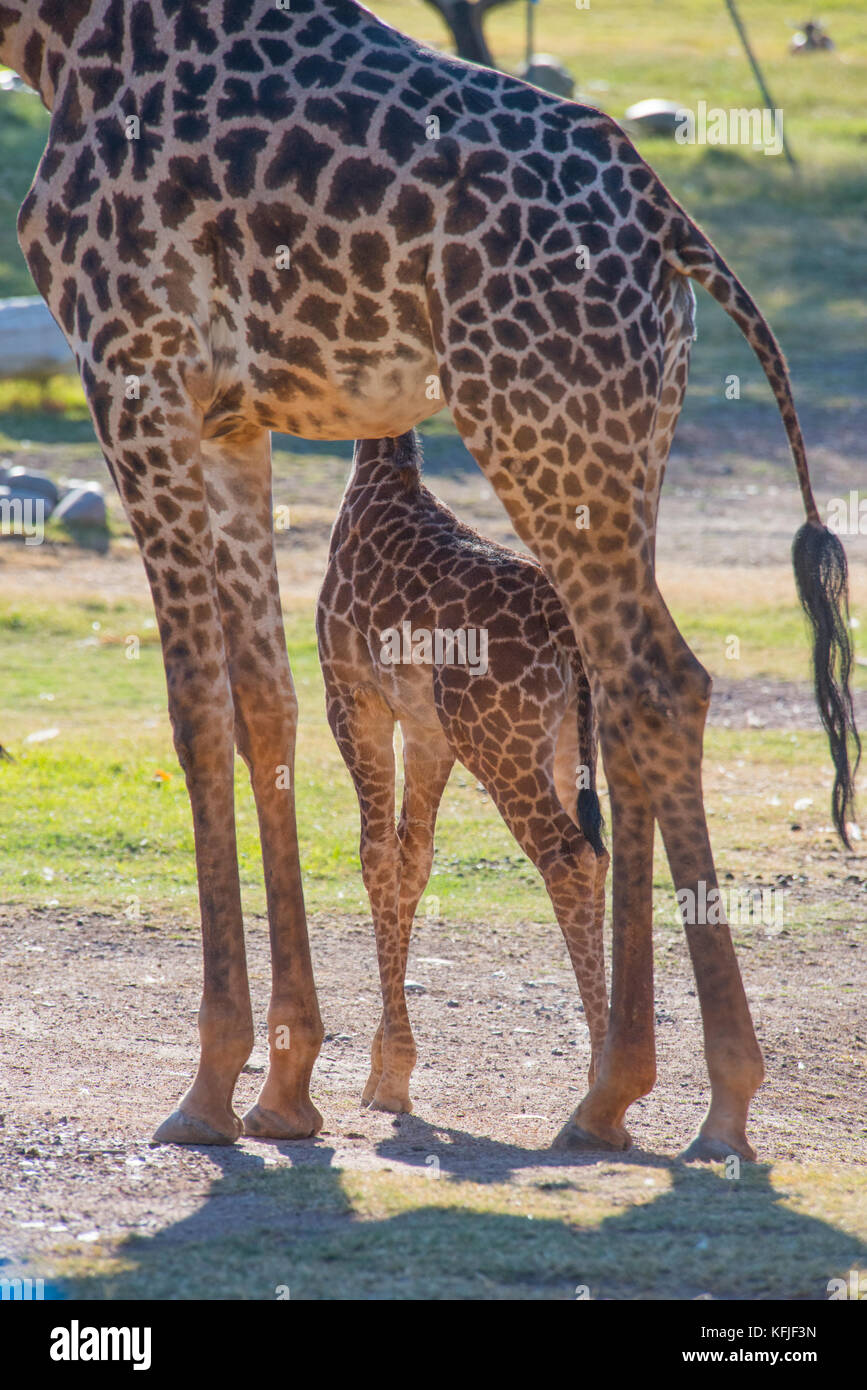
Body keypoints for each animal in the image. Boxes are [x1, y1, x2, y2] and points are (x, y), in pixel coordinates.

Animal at [317, 429, 609, 1117]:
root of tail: (566, 634)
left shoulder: (353, 698)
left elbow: (375, 853)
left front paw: (389, 1079)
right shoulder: (427, 729)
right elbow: (414, 856)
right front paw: (387, 1072)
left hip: (499, 745)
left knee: (568, 856)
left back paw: (605, 1087)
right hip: (564, 744)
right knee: (602, 852)